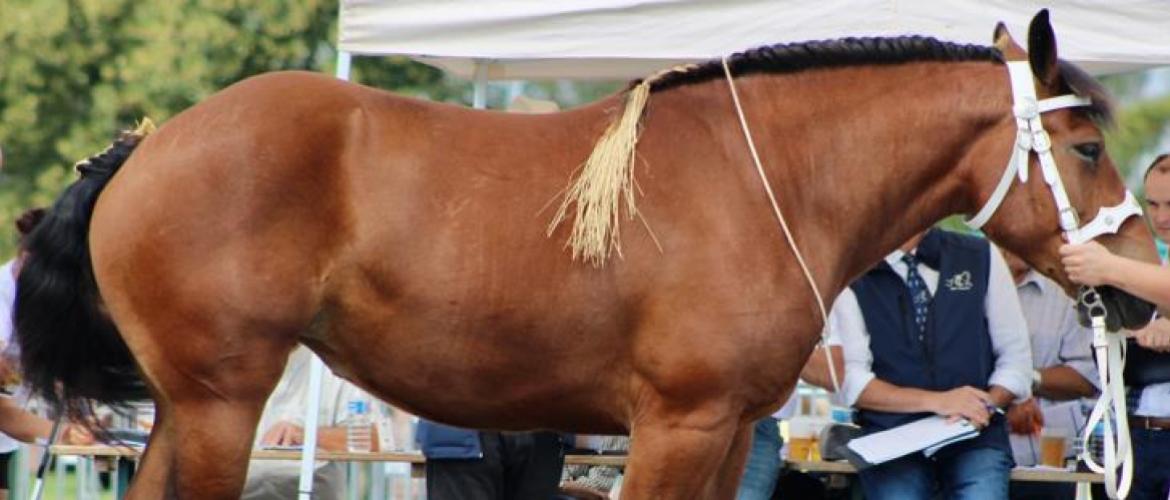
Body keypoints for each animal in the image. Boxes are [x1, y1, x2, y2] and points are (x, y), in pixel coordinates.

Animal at [14, 11, 1158, 499]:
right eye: (1085, 146)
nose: (1139, 293)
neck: (766, 179)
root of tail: (143, 146)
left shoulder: (722, 438)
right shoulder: (677, 427)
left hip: (188, 408)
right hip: (221, 404)